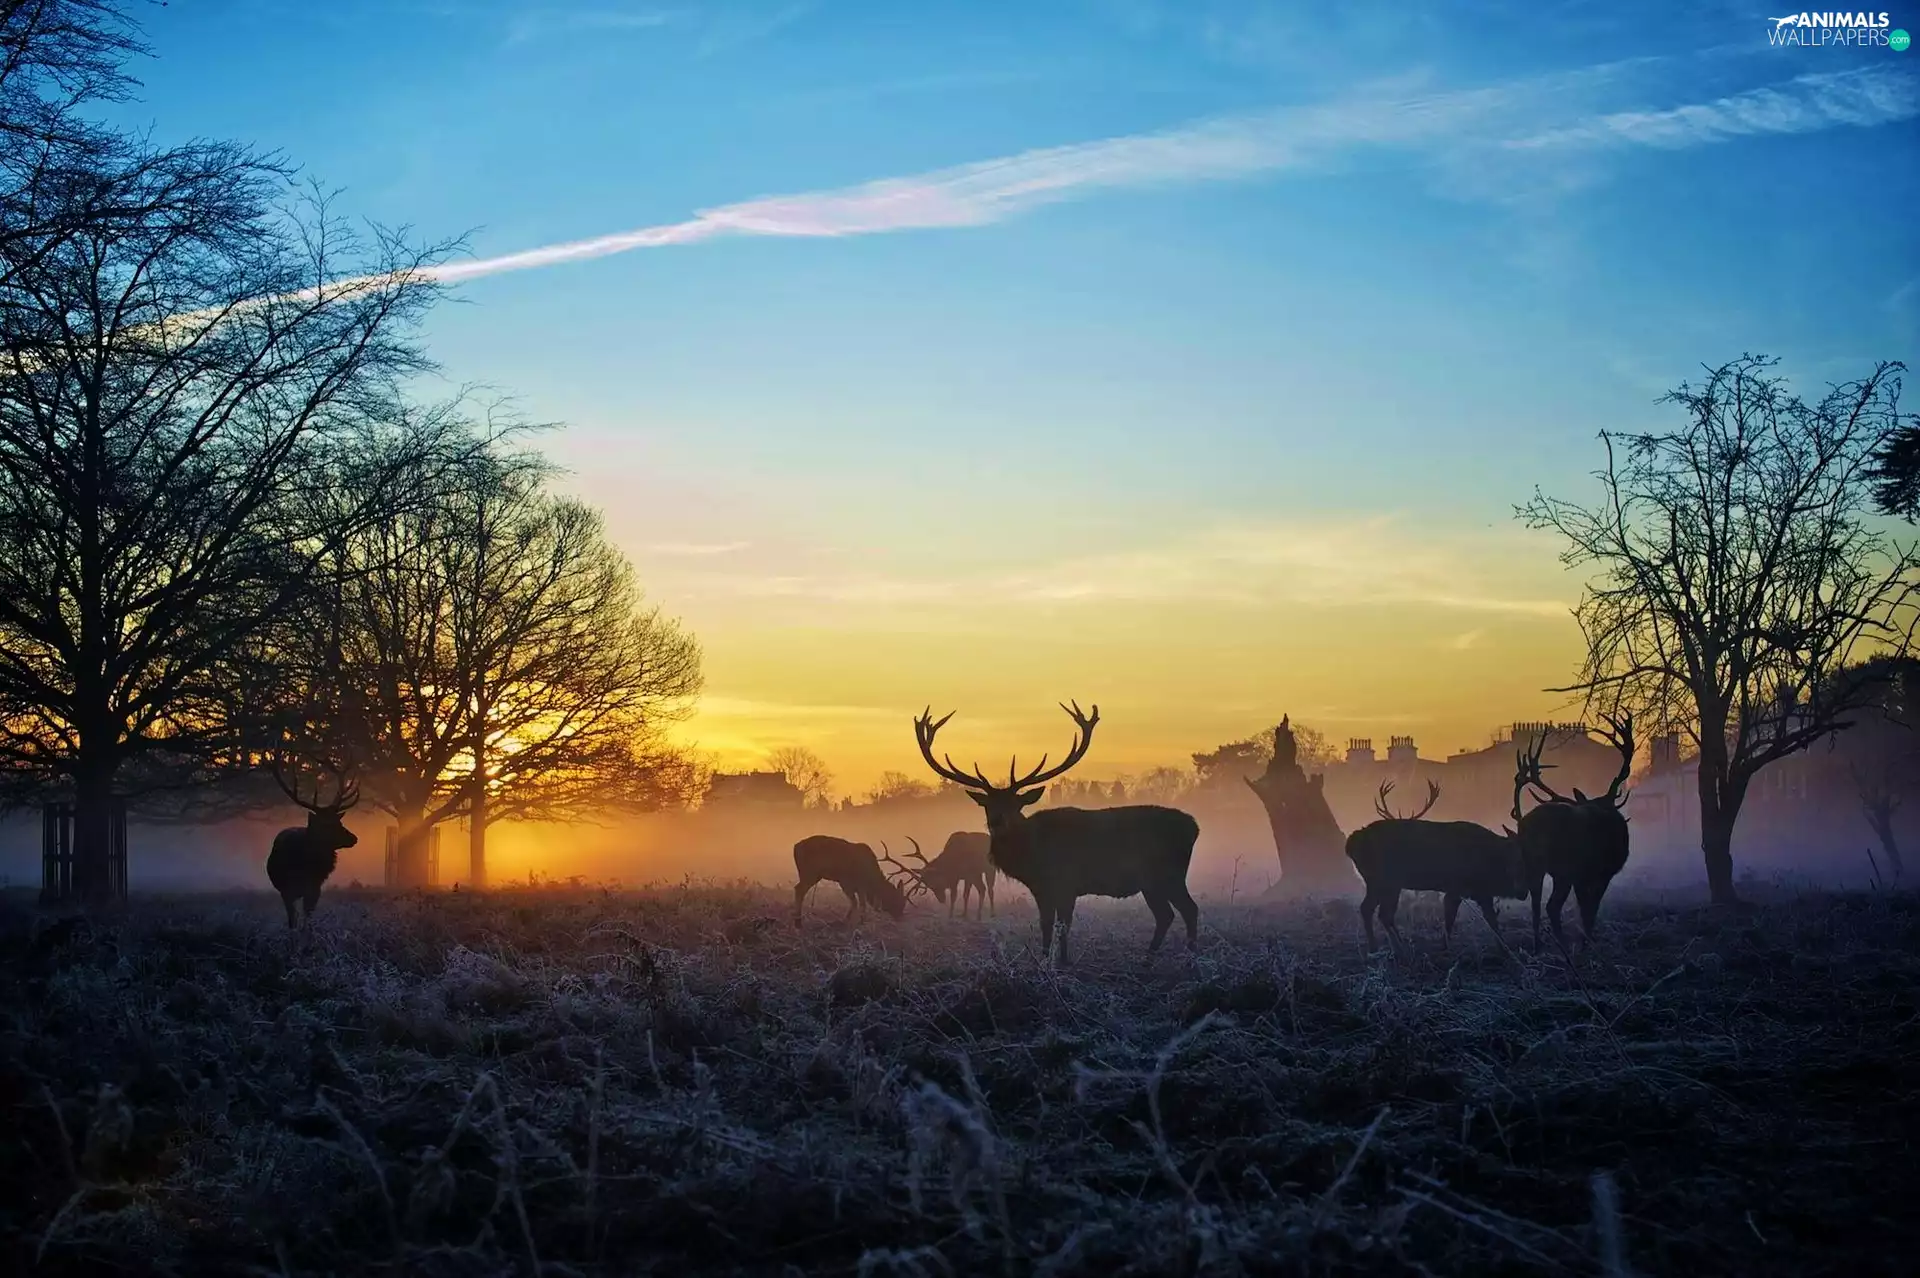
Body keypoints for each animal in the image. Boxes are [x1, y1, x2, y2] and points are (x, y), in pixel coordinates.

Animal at [265, 763, 360, 929]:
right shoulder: (286, 890)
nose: (354, 838)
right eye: (328, 824)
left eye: (339, 821)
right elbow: (292, 920)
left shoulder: (315, 888)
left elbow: (308, 917)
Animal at [913, 701, 1200, 964]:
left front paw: (1062, 962)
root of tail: (1194, 827)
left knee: (1189, 909)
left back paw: (1189, 957)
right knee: (1166, 915)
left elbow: (1064, 926)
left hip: (1167, 874)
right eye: (987, 804)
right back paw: (1150, 957)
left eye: (1016, 803)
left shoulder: (1066, 883)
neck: (1032, 854)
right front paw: (1043, 960)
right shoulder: (1042, 889)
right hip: (1152, 882)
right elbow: (1046, 925)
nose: (997, 821)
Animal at [1344, 779, 1528, 952]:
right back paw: (1390, 949)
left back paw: (1388, 947)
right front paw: (1444, 947)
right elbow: (1450, 920)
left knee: (1374, 911)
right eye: (1516, 861)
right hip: (1385, 880)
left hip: (1380, 882)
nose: (1523, 892)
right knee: (1378, 912)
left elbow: (1492, 921)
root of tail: (1351, 843)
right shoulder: (1456, 887)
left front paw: (1504, 948)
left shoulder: (1481, 892)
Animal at [1512, 714, 1634, 952]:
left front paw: (1586, 940)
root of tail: (1524, 824)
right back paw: (1562, 945)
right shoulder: (1599, 872)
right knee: (1552, 906)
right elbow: (1590, 908)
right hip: (1565, 868)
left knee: (1536, 903)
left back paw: (1539, 946)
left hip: (1535, 865)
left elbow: (1585, 908)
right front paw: (1588, 941)